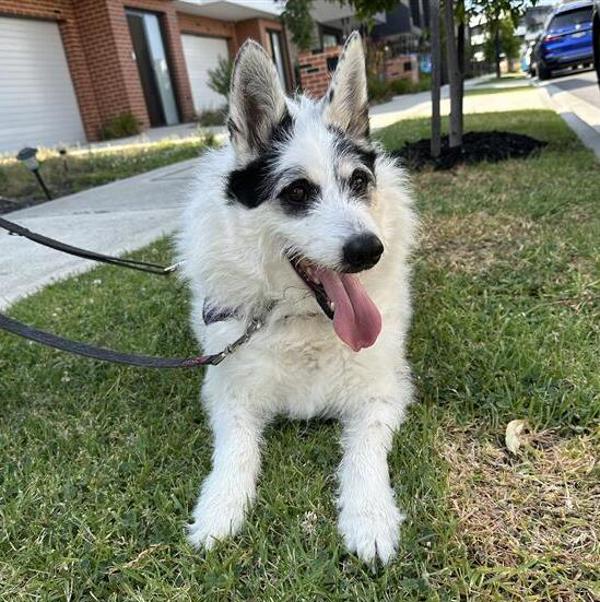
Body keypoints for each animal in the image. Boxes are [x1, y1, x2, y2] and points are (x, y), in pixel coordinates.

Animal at [176, 32, 416, 564]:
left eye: (359, 181)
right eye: (298, 191)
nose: (368, 251)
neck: (307, 320)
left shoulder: (382, 393)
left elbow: (363, 455)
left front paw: (369, 517)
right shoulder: (227, 393)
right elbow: (235, 451)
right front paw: (220, 509)